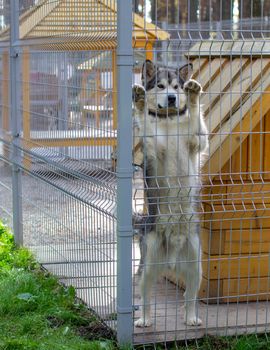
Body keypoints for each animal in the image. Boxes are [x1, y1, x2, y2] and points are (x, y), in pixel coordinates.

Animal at [133, 60, 209, 328]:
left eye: (177, 86)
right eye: (160, 86)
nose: (173, 98)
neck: (169, 121)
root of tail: (172, 260)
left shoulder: (197, 141)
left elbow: (197, 120)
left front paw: (194, 94)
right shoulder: (154, 147)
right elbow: (145, 123)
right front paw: (140, 102)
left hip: (196, 267)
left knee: (189, 297)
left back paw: (191, 317)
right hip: (147, 267)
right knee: (146, 298)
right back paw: (144, 319)